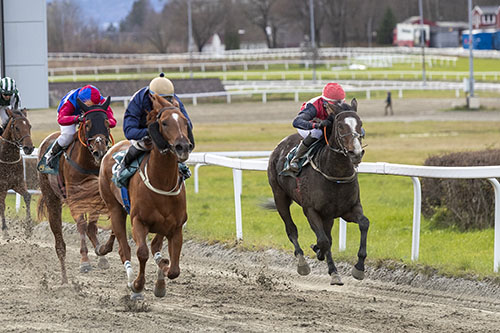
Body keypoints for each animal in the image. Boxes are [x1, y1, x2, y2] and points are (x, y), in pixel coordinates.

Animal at [38, 97, 114, 284]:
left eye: (107, 122)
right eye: (87, 124)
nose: (100, 151)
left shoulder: (96, 197)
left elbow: (91, 226)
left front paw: (102, 255)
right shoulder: (74, 198)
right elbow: (81, 225)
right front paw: (84, 261)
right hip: (51, 198)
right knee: (58, 236)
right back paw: (64, 277)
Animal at [96, 92, 192, 298]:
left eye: (184, 120)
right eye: (164, 123)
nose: (183, 146)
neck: (162, 182)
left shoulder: (175, 227)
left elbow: (173, 268)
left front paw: (161, 280)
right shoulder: (138, 221)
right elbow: (142, 252)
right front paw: (138, 284)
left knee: (155, 246)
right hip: (115, 208)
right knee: (124, 249)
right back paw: (131, 282)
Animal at [268, 97, 370, 284]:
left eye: (360, 124)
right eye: (340, 126)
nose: (356, 153)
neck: (335, 174)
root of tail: (280, 145)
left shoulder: (349, 209)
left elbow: (364, 224)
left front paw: (359, 268)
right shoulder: (311, 210)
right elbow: (323, 240)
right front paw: (318, 251)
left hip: (328, 215)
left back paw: (332, 269)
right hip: (280, 196)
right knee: (291, 229)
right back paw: (303, 263)